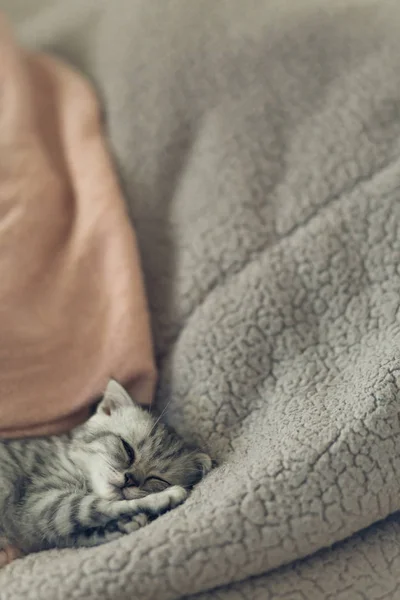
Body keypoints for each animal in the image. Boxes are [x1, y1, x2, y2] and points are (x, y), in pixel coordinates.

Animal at [0, 382, 212, 556]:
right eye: (127, 449)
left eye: (157, 479)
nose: (130, 479)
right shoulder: (42, 503)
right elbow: (100, 506)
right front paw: (164, 497)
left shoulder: (48, 522)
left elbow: (80, 531)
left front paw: (122, 525)